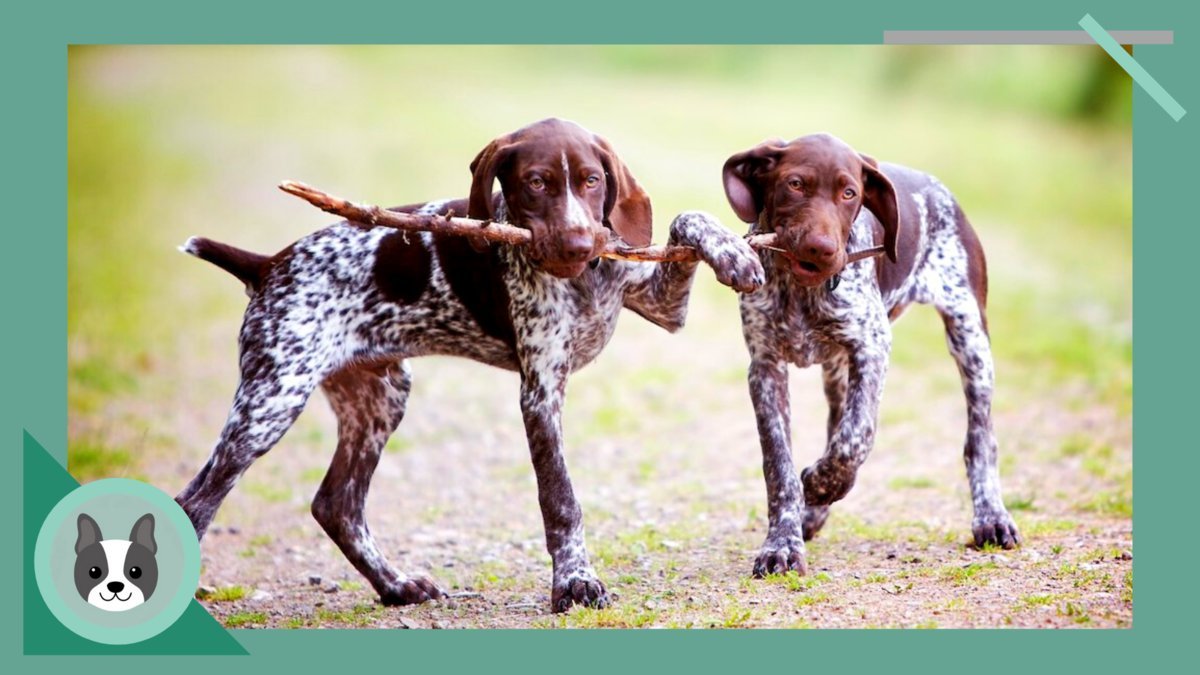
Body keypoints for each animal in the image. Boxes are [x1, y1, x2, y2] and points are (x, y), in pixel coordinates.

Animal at [175, 118, 763, 612]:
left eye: (593, 181)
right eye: (536, 183)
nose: (578, 243)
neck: (584, 279)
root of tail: (268, 264)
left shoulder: (663, 305)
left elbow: (687, 218)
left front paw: (733, 252)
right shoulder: (540, 391)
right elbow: (561, 500)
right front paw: (574, 582)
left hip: (379, 398)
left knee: (335, 504)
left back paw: (396, 586)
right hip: (273, 397)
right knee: (196, 501)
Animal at [720, 133, 1022, 576]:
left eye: (850, 194)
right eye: (795, 184)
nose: (821, 249)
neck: (800, 290)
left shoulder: (872, 347)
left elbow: (856, 436)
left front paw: (821, 483)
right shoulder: (765, 368)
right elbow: (780, 465)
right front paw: (783, 541)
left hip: (970, 338)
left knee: (981, 438)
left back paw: (992, 517)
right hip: (837, 369)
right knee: (835, 421)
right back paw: (815, 511)